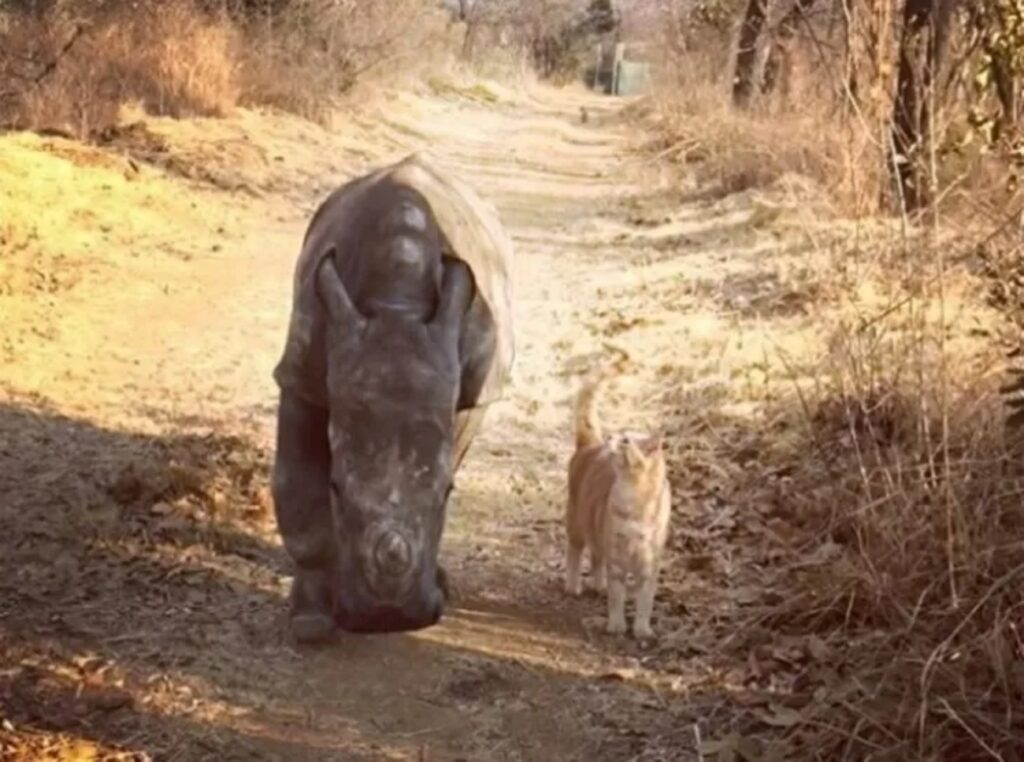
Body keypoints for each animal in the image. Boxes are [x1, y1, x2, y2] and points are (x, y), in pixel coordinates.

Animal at [561, 356, 671, 635]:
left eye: (625, 440)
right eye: (621, 434)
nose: (611, 436)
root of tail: (591, 444)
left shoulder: (649, 567)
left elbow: (645, 602)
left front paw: (641, 629)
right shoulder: (617, 562)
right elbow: (617, 597)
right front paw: (617, 625)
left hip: (594, 531)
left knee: (596, 557)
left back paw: (597, 586)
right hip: (576, 524)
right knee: (575, 553)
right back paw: (573, 586)